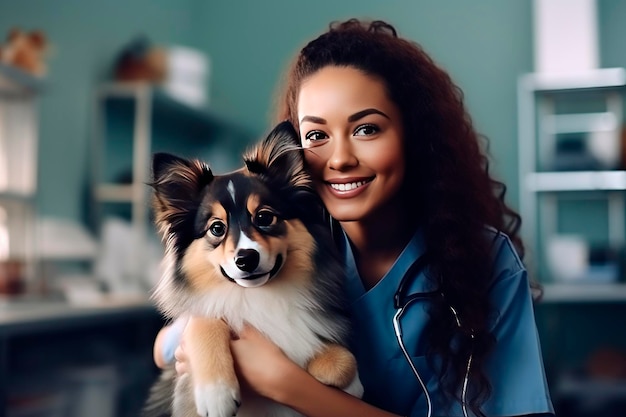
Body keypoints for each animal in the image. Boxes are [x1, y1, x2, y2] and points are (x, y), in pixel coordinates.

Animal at [143, 121, 360, 416]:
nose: (246, 259)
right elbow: (205, 321)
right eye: (217, 228)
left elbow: (330, 351)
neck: (258, 296)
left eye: (265, 217)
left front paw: (348, 377)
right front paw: (216, 393)